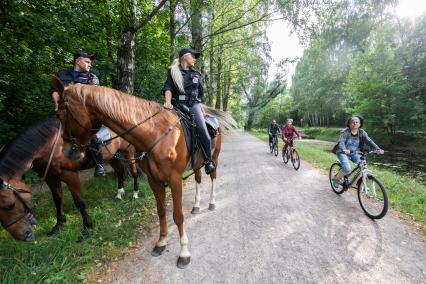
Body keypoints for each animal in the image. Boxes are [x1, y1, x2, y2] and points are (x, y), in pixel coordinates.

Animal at [0, 115, 138, 242]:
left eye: (10, 205)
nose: (24, 235)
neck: (52, 145)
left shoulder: (70, 175)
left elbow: (79, 202)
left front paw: (87, 229)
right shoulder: (50, 177)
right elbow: (57, 200)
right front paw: (59, 225)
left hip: (129, 152)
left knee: (134, 172)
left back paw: (135, 194)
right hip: (112, 155)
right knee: (120, 171)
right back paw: (119, 194)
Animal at [52, 77, 236, 268]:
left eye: (59, 115)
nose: (66, 153)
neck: (155, 134)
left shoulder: (175, 179)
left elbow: (178, 216)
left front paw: (184, 253)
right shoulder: (153, 180)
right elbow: (161, 212)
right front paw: (161, 243)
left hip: (213, 158)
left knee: (212, 176)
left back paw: (212, 202)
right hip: (196, 163)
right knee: (199, 179)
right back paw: (196, 205)